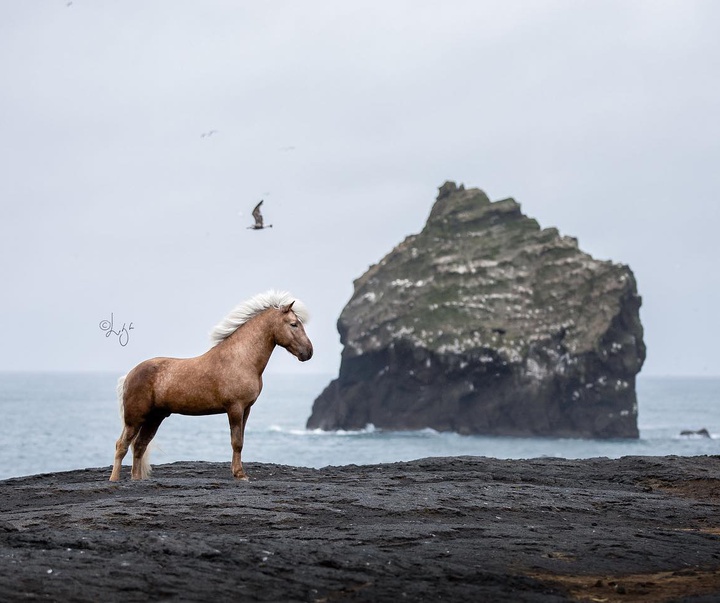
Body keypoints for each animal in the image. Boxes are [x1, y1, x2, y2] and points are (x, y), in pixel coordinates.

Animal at [108, 290, 310, 484]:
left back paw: (136, 478)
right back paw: (114, 479)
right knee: (121, 445)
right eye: (293, 324)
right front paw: (240, 474)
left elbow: (241, 440)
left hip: (154, 418)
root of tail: (129, 375)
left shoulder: (246, 409)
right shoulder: (235, 408)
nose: (308, 352)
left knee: (139, 445)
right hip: (135, 418)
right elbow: (236, 442)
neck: (241, 359)